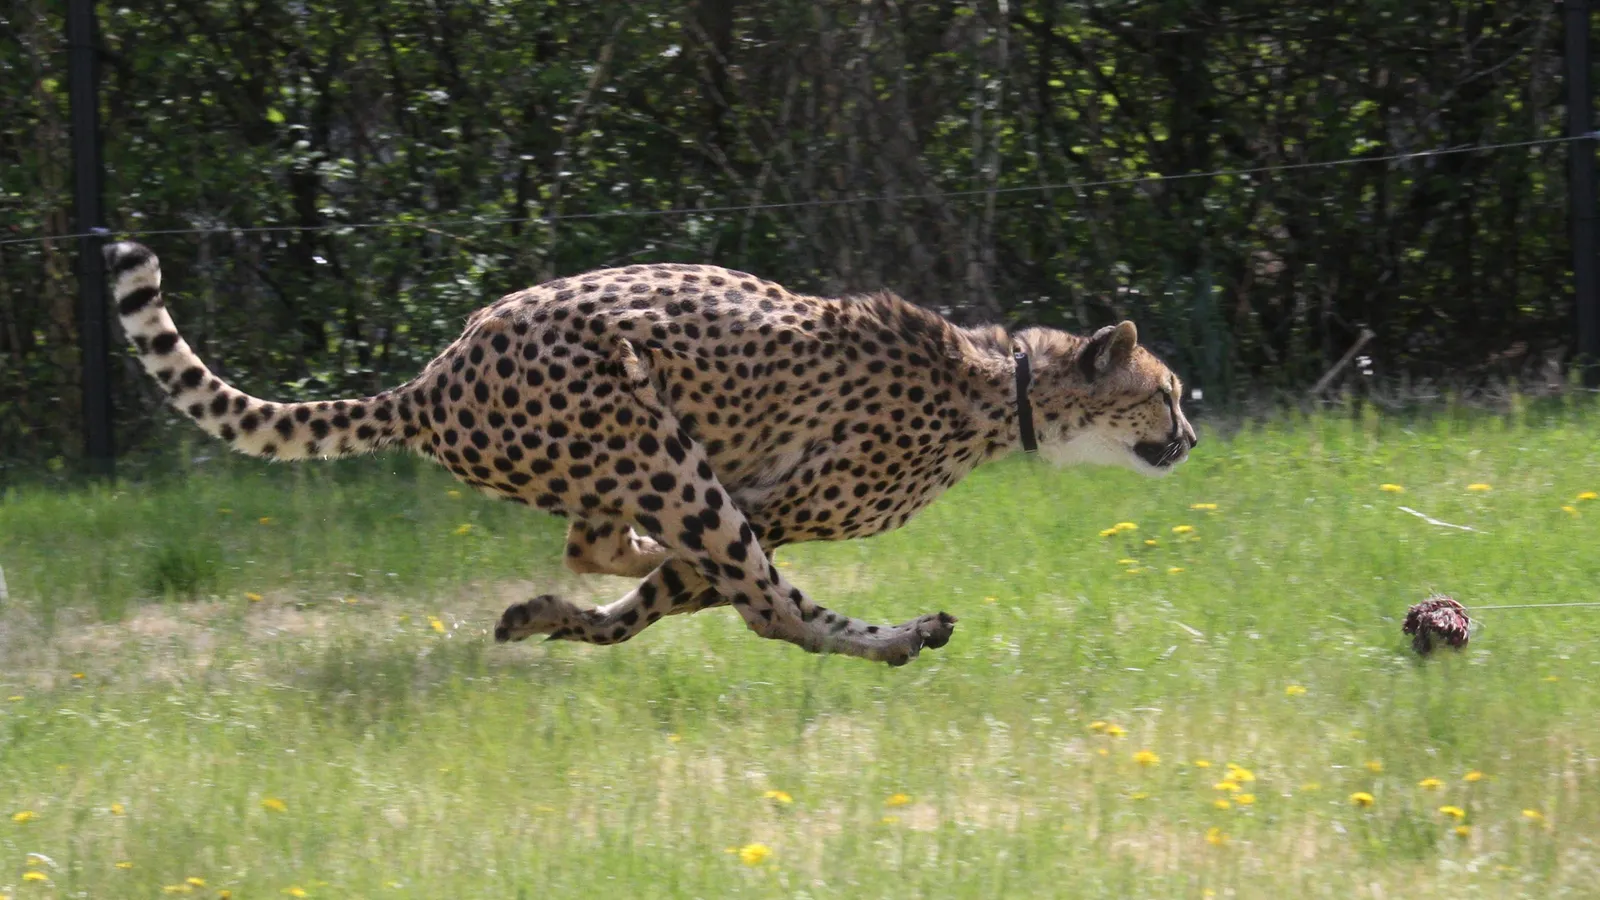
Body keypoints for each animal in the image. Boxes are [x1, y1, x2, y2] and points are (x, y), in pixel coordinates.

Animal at [104, 240, 1197, 666]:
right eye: (1167, 394)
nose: (1191, 436)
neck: (1003, 385)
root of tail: (431, 377)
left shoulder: (749, 510)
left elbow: (659, 596)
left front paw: (556, 613)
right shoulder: (776, 507)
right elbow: (717, 594)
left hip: (644, 464)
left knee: (603, 547)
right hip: (655, 441)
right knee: (767, 609)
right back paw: (897, 638)